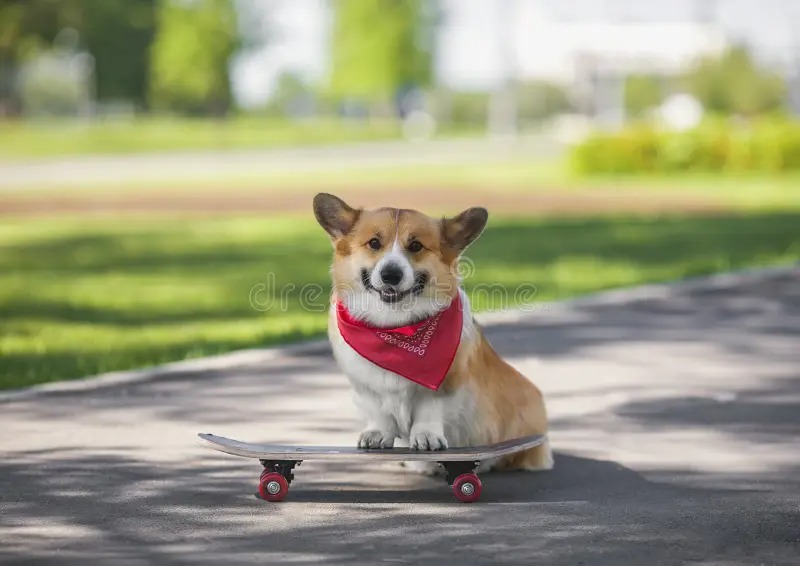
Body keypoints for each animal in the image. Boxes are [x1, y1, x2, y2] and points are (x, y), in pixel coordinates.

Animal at [316, 195, 552, 474]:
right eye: (374, 243)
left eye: (416, 246)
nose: (390, 275)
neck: (394, 326)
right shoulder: (365, 386)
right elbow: (379, 411)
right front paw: (378, 433)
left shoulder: (445, 384)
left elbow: (428, 411)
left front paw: (427, 437)